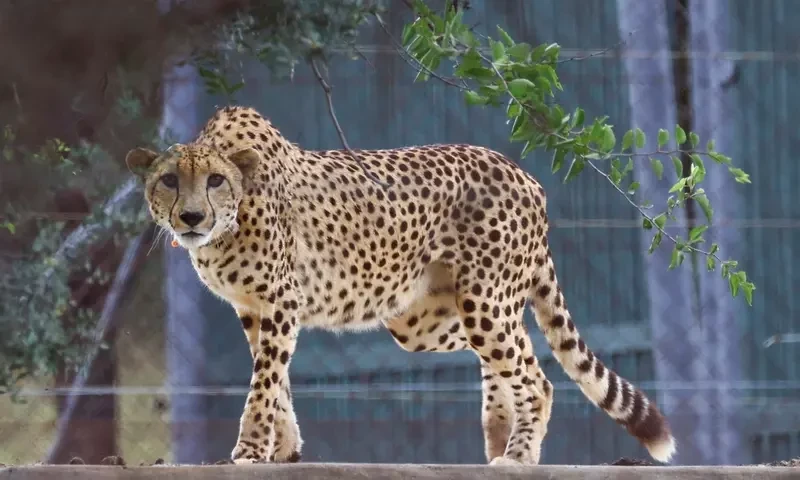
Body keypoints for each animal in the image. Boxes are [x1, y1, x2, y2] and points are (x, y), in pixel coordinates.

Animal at [126, 105, 676, 466]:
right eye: (168, 180)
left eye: (215, 181)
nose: (191, 217)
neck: (228, 222)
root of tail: (524, 174)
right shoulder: (254, 308)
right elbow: (275, 379)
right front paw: (284, 447)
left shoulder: (282, 300)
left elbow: (263, 382)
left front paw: (249, 449)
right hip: (429, 318)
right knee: (515, 346)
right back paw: (499, 432)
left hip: (481, 300)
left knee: (534, 374)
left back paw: (518, 455)